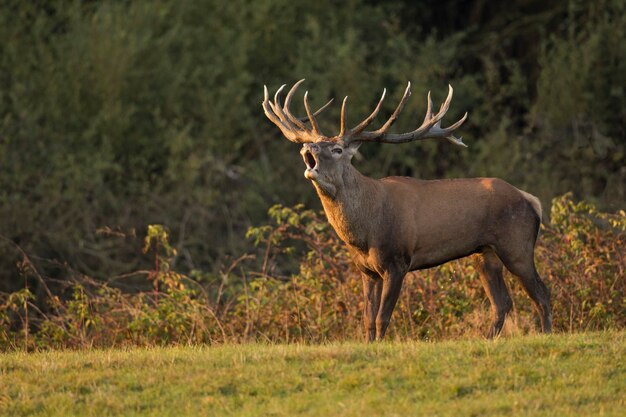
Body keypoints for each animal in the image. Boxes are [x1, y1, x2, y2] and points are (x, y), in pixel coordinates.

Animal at [260, 79, 548, 342]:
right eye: (315, 143)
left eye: (337, 149)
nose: (308, 147)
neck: (365, 230)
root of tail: (531, 200)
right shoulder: (366, 270)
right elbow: (367, 318)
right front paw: (369, 345)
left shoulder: (397, 260)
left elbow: (382, 317)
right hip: (484, 253)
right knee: (502, 302)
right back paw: (488, 339)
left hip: (516, 244)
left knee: (541, 292)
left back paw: (547, 333)